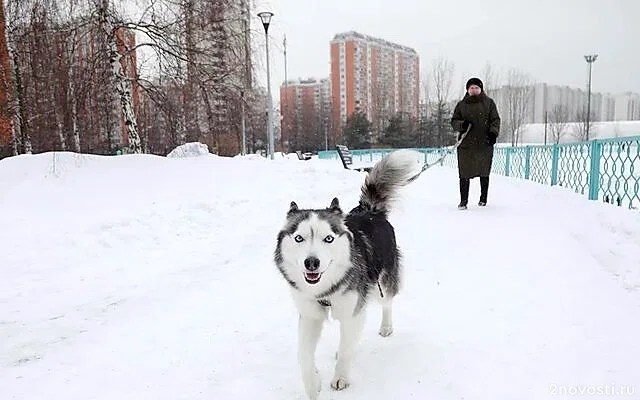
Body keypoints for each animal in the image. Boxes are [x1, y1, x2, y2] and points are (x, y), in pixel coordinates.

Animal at [274, 151, 420, 400]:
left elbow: (345, 349)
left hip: (382, 282)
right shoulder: (309, 314)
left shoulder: (353, 310)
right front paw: (313, 383)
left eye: (328, 239)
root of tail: (370, 211)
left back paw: (385, 327)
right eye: (299, 238)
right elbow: (303, 356)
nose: (311, 263)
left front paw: (340, 377)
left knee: (386, 303)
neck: (325, 291)